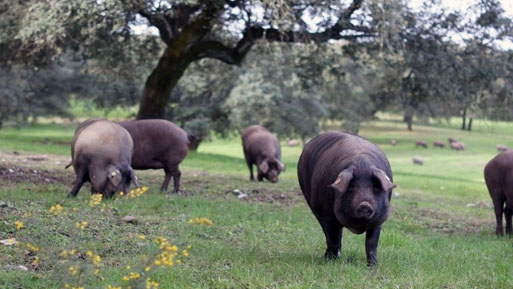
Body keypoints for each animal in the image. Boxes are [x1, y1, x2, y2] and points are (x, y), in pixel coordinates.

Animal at [296, 131, 396, 266]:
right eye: (352, 186)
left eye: (375, 186)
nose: (365, 204)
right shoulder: (326, 215)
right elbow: (332, 238)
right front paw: (331, 262)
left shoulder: (378, 219)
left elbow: (371, 244)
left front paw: (373, 267)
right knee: (334, 236)